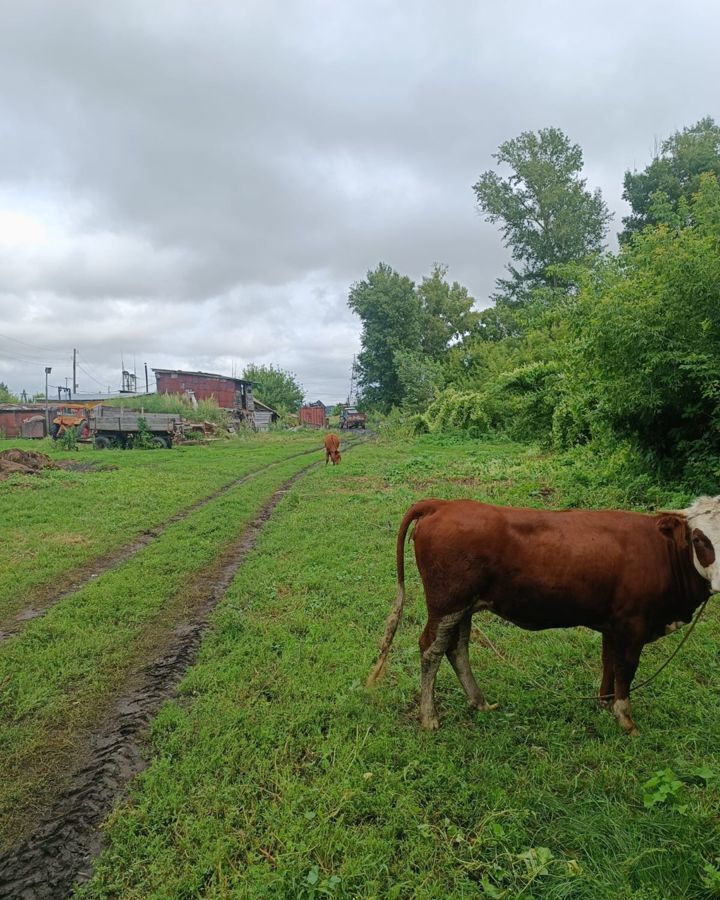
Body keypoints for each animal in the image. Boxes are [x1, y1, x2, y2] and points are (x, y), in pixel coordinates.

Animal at [368, 496, 716, 736]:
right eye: (699, 539)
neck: (661, 551)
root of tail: (442, 504)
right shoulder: (633, 624)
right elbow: (626, 670)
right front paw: (625, 719)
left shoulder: (612, 623)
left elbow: (609, 662)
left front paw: (604, 702)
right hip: (446, 604)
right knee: (431, 649)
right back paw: (429, 716)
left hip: (463, 607)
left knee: (457, 649)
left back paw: (479, 702)